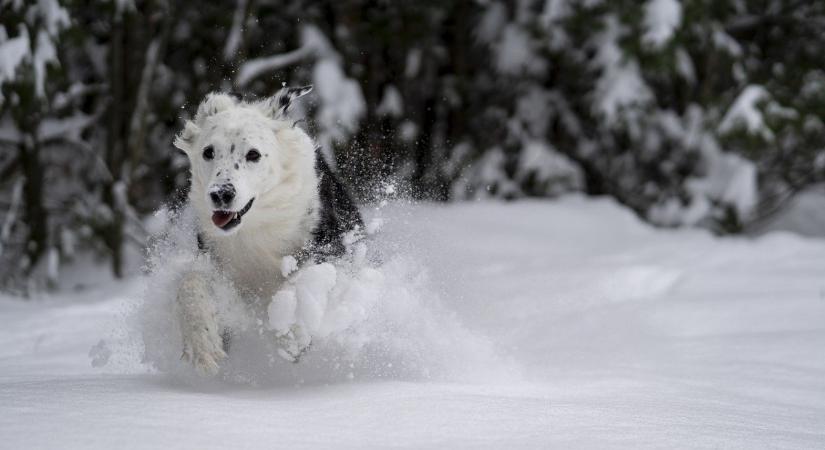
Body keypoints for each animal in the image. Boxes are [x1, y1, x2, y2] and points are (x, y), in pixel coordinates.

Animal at [170, 86, 360, 374]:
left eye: (253, 154)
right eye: (208, 152)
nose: (221, 194)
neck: (255, 226)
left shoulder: (332, 248)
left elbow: (299, 280)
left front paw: (291, 333)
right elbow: (190, 282)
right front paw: (202, 344)